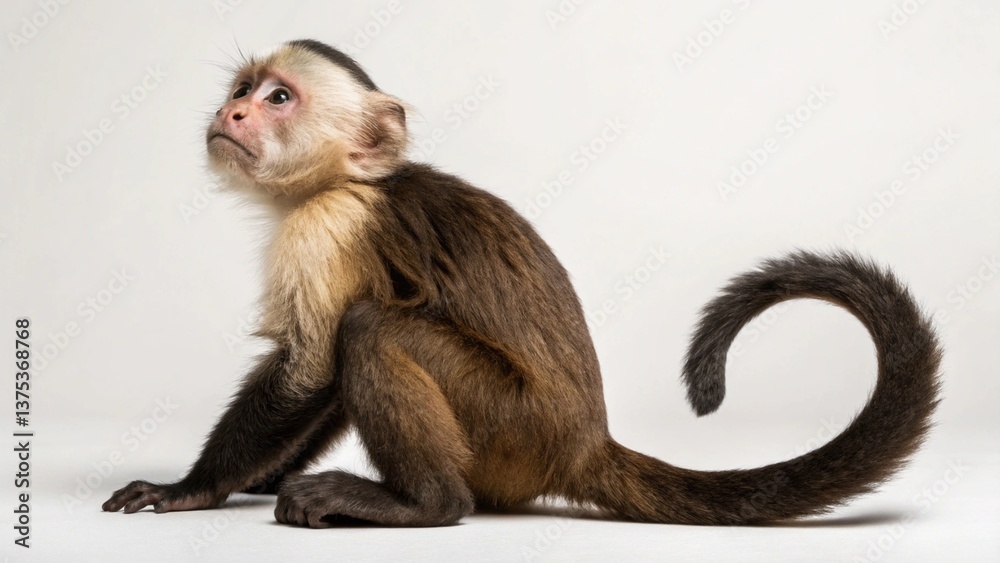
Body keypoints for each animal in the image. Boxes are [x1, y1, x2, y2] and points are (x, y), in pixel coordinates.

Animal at [102, 39, 941, 527]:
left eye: (279, 97)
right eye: (243, 88)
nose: (234, 111)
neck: (342, 181)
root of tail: (582, 443)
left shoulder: (329, 224)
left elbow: (309, 366)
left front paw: (191, 487)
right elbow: (321, 378)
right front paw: (260, 473)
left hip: (514, 431)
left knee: (372, 328)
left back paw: (424, 505)